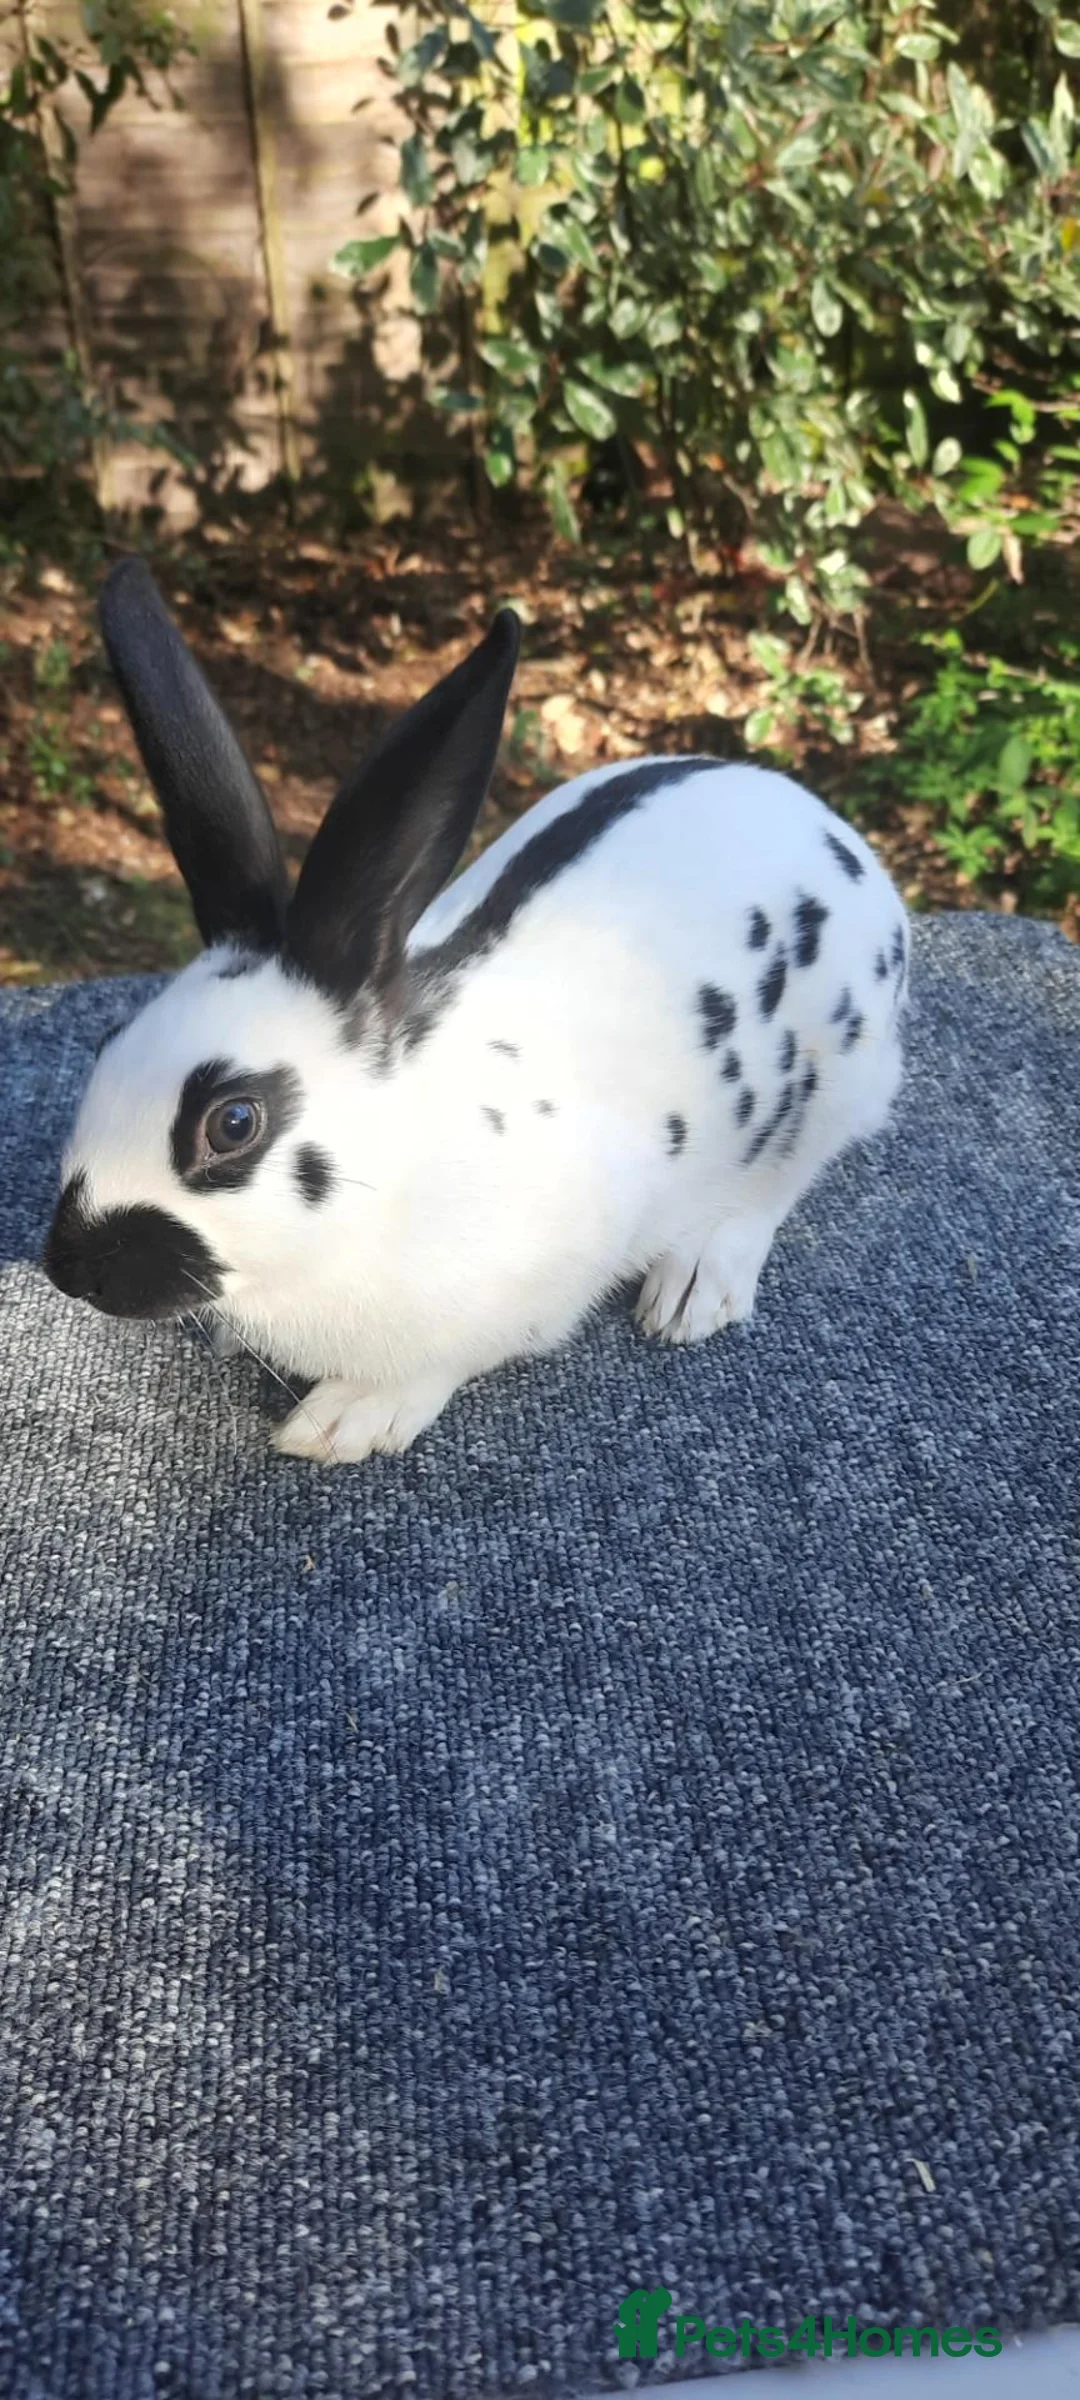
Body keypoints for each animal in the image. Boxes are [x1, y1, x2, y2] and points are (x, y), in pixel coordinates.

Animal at [42, 557, 909, 1465]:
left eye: (234, 1123)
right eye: (105, 1044)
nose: (71, 1268)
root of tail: (824, 822)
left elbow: (450, 1360)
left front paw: (346, 1419)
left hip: (835, 1078)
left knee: (783, 1179)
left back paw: (695, 1283)